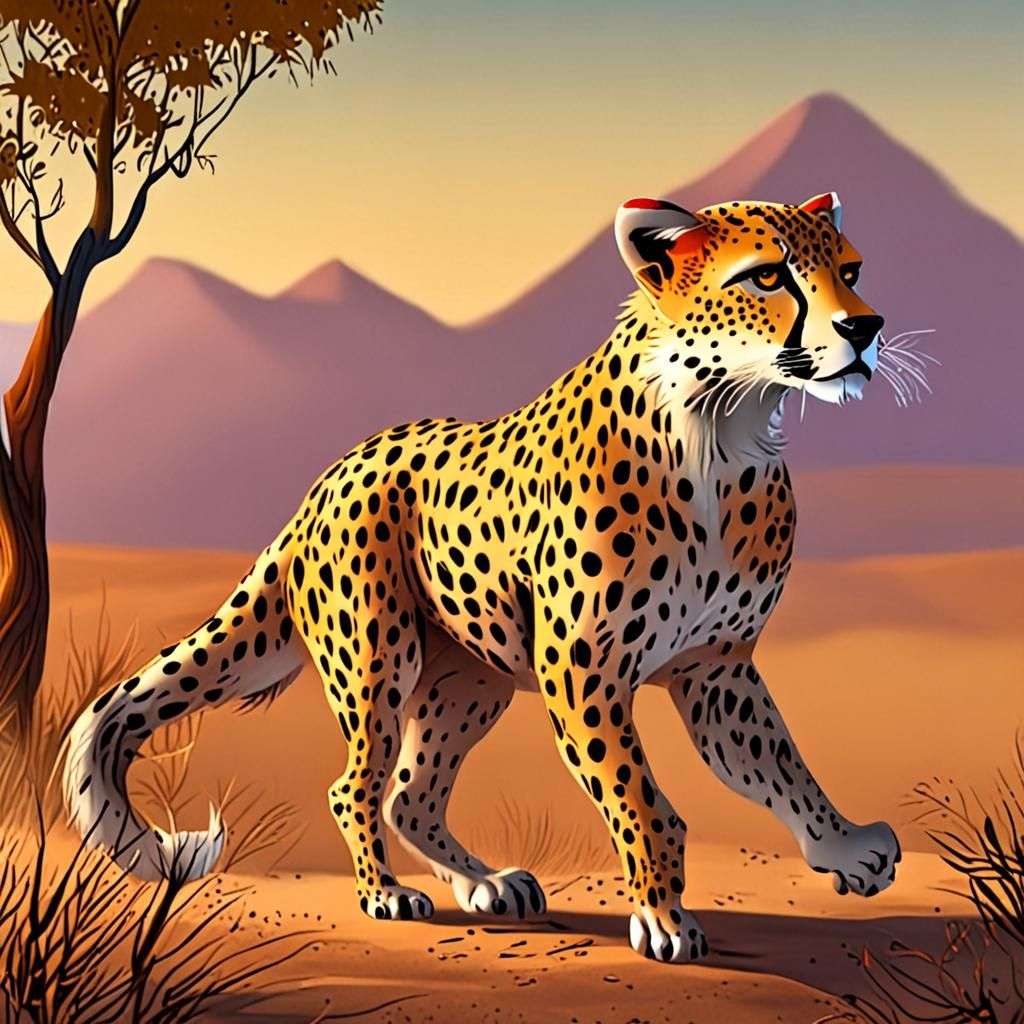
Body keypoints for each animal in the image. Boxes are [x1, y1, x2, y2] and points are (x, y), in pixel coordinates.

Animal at [64, 190, 901, 963]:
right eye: (767, 277)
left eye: (851, 270)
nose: (865, 329)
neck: (721, 431)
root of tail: (326, 480)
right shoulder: (583, 672)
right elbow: (640, 798)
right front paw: (663, 918)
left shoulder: (716, 669)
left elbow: (779, 763)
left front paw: (847, 846)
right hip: (377, 664)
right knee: (355, 787)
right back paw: (385, 893)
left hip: (472, 680)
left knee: (412, 793)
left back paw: (486, 882)